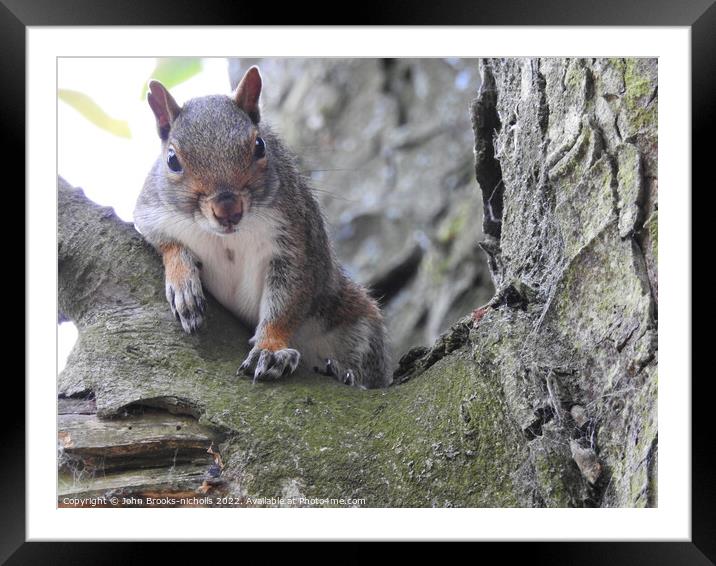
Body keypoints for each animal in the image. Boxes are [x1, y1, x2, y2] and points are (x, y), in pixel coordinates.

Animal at [134, 64, 392, 388]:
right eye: (172, 159)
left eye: (260, 146)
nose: (228, 209)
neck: (227, 238)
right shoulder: (151, 213)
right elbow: (167, 244)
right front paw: (183, 286)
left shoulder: (295, 244)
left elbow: (285, 306)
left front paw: (270, 349)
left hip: (357, 318)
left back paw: (347, 373)